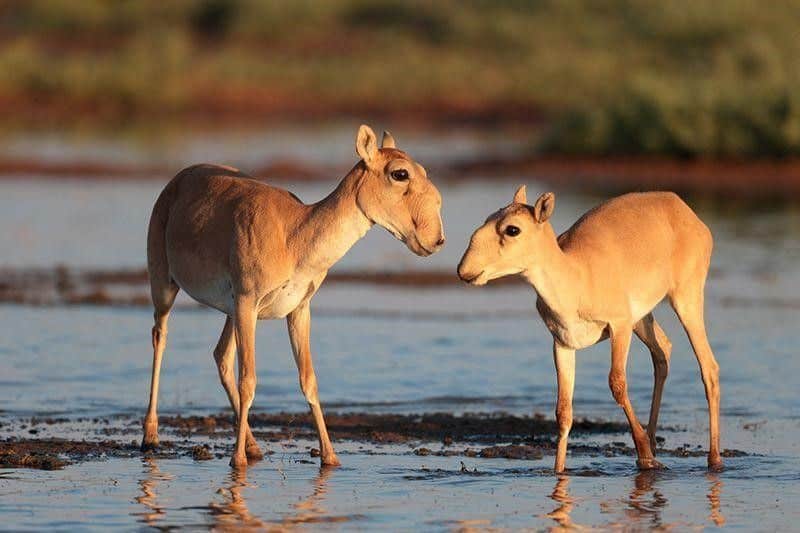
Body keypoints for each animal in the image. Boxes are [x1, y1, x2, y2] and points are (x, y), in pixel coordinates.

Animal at [142, 124, 444, 466]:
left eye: (423, 169)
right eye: (400, 173)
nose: (437, 238)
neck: (295, 234)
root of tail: (178, 179)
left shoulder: (299, 309)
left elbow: (308, 380)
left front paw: (330, 457)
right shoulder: (247, 302)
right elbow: (249, 381)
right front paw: (237, 461)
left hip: (230, 311)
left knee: (221, 356)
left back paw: (254, 446)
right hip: (166, 286)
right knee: (160, 336)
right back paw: (151, 436)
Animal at [460, 187, 720, 470]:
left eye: (512, 229)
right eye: (489, 218)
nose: (463, 270)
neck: (577, 275)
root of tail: (682, 207)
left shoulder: (619, 327)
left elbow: (617, 383)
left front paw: (643, 453)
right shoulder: (562, 344)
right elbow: (563, 411)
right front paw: (558, 471)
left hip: (685, 299)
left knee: (709, 368)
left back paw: (713, 457)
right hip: (642, 318)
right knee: (663, 351)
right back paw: (653, 442)